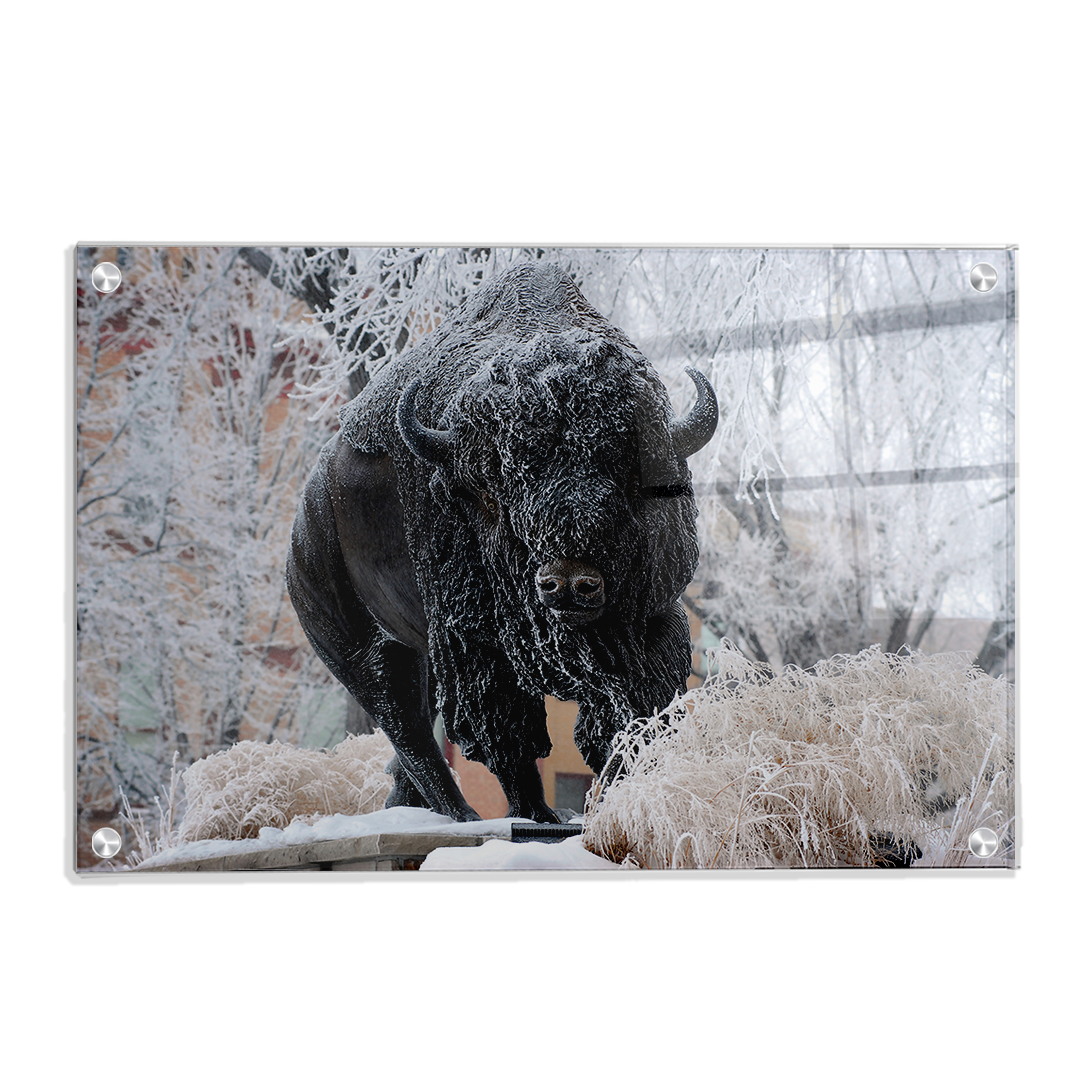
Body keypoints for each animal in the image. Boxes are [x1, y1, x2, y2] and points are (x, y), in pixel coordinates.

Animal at [287, 262, 717, 823]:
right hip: (361, 648)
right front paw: (538, 817)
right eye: (496, 487)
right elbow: (508, 735)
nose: (567, 584)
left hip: (421, 651)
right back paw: (462, 816)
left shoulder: (655, 619)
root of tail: (305, 519)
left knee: (416, 729)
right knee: (407, 726)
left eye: (627, 476)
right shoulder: (474, 643)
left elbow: (634, 716)